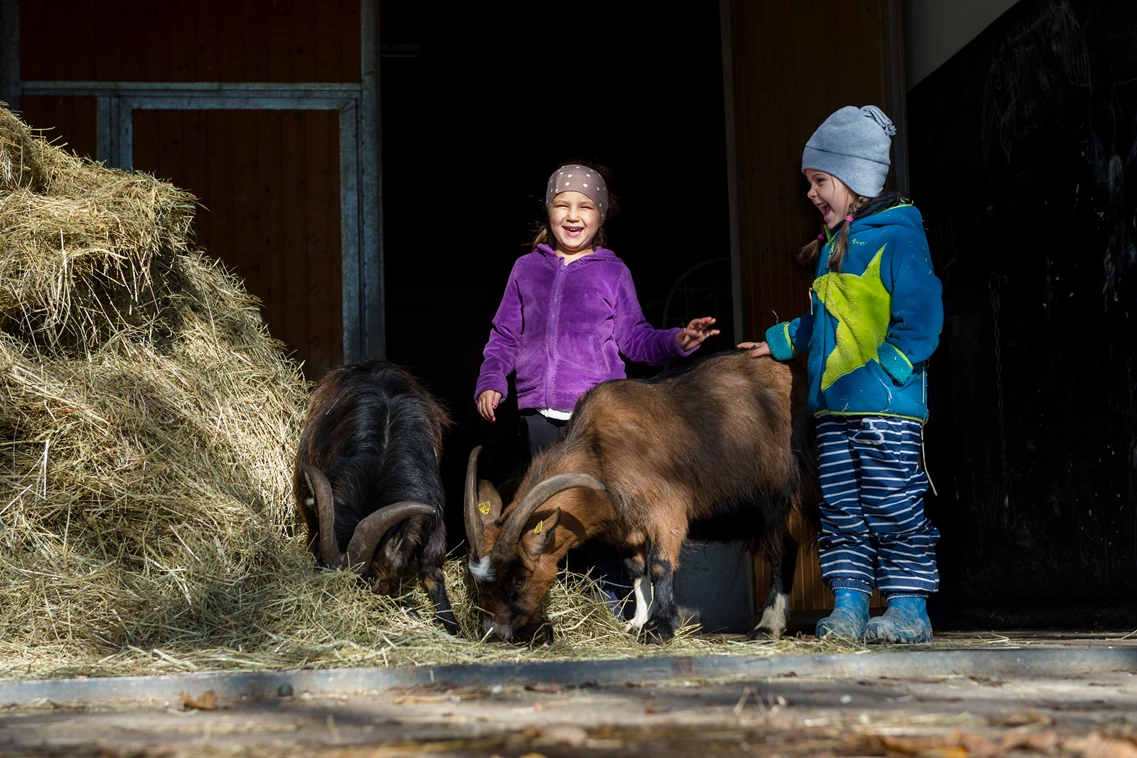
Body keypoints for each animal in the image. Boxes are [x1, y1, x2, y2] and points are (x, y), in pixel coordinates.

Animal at [461, 352, 818, 645]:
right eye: (477, 583)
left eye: (519, 580)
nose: (493, 633)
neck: (599, 453)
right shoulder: (626, 527)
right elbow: (636, 571)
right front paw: (636, 622)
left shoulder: (666, 512)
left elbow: (660, 565)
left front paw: (660, 627)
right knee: (786, 546)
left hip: (788, 492)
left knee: (785, 549)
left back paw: (768, 626)